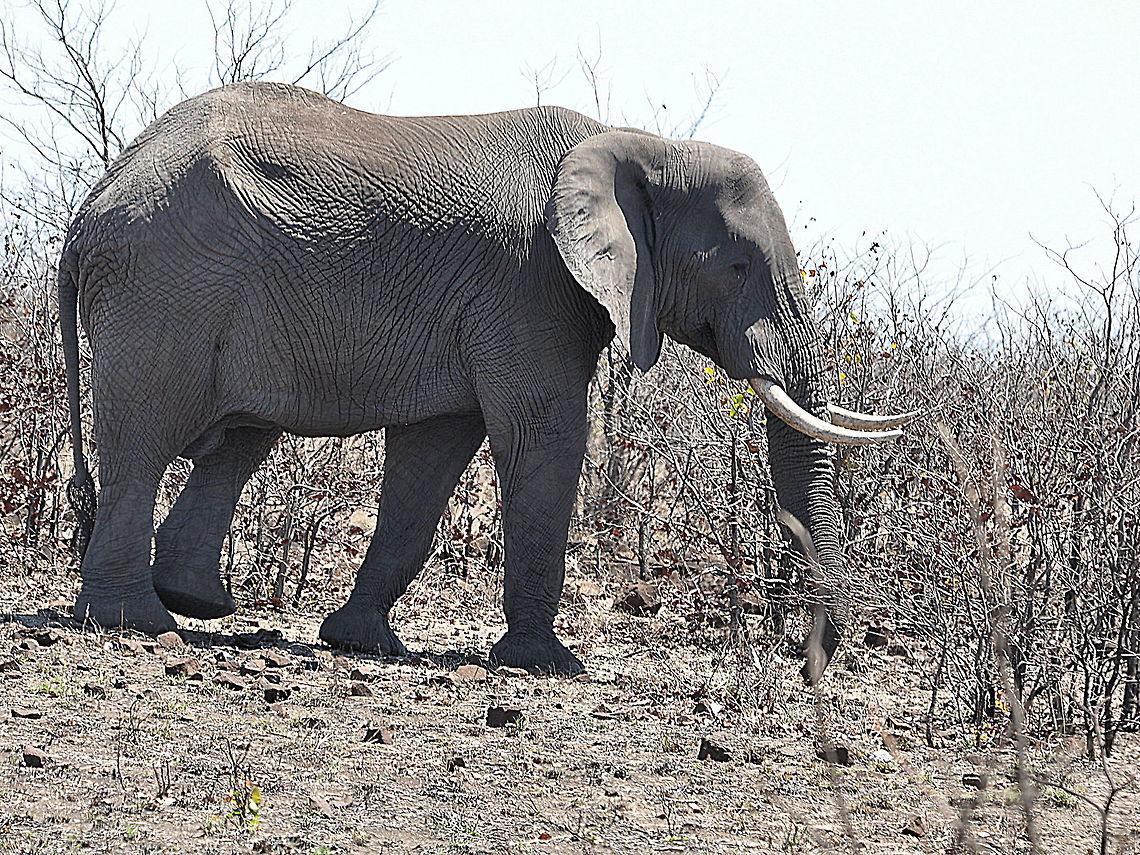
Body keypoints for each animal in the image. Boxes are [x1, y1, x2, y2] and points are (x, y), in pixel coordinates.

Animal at [59, 81, 913, 678]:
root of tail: (90, 203)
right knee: (143, 440)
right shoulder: (529, 282)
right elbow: (544, 435)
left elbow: (435, 453)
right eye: (737, 267)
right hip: (163, 286)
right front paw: (549, 664)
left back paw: (191, 602)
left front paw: (365, 642)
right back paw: (140, 620)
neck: (638, 144)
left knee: (237, 439)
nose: (806, 663)